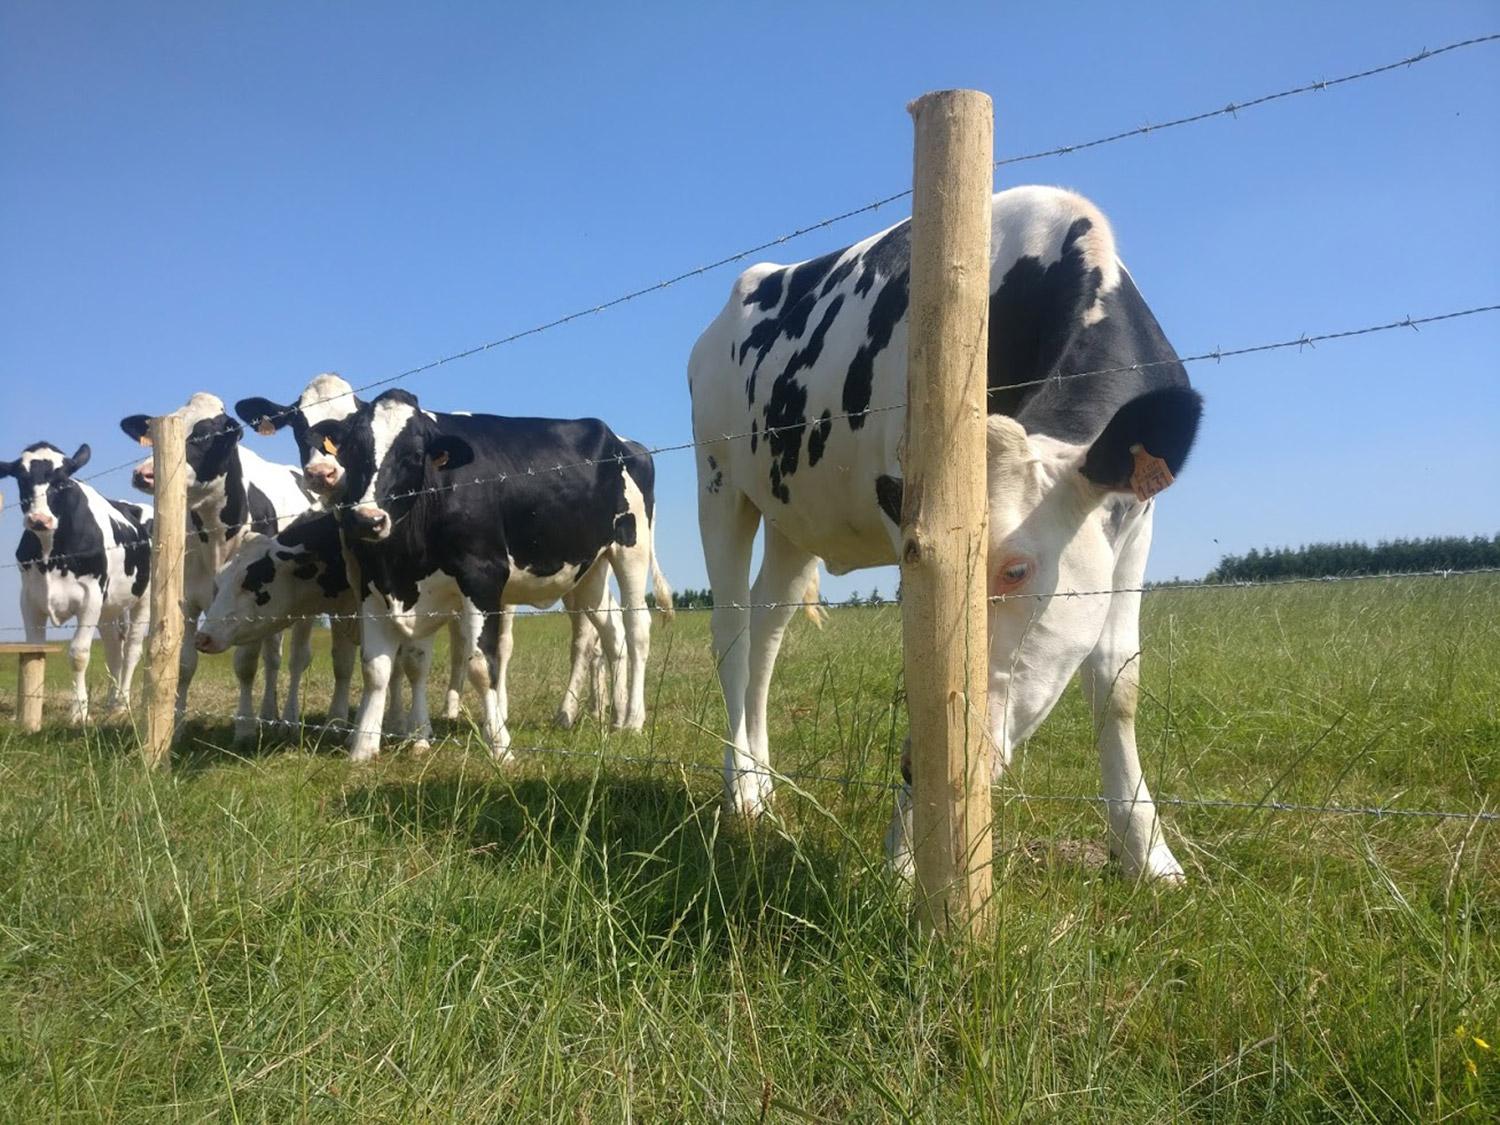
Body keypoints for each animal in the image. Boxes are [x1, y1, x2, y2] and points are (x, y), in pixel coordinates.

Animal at [2, 444, 152, 723]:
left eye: (61, 480)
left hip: (143, 599)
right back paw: (111, 703)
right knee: (114, 650)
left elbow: (79, 654)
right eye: (21, 478)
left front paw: (79, 712)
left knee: (132, 651)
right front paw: (27, 711)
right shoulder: (29, 598)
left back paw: (123, 703)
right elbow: (33, 650)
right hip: (108, 608)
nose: (39, 520)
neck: (51, 552)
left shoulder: (90, 597)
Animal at [121, 393, 321, 744]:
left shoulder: (249, 596)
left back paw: (288, 720)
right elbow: (185, 664)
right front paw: (177, 727)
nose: (144, 474)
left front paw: (244, 728)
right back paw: (269, 714)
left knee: (296, 659)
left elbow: (245, 664)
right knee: (273, 657)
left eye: (206, 435)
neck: (215, 536)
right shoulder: (187, 600)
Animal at [196, 510, 618, 744]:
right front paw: (347, 724)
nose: (203, 635)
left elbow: (409, 664)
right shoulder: (350, 613)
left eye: (252, 582)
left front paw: (410, 729)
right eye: (219, 580)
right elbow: (350, 666)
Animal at [310, 390, 675, 768]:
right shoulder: (374, 584)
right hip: (590, 568)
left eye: (414, 455)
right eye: (354, 450)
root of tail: (625, 442)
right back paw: (613, 717)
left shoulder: (482, 578)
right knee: (611, 631)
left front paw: (500, 745)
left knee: (637, 628)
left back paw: (633, 720)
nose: (367, 520)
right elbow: (378, 667)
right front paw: (364, 748)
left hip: (631, 546)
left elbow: (481, 666)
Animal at [690, 187, 1206, 888]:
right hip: (718, 482)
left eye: (1017, 570)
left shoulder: (1136, 521)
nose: (917, 766)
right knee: (733, 634)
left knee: (769, 632)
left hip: (794, 518)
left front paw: (1147, 854)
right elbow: (924, 667)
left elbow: (1118, 683)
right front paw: (909, 859)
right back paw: (740, 789)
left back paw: (764, 781)